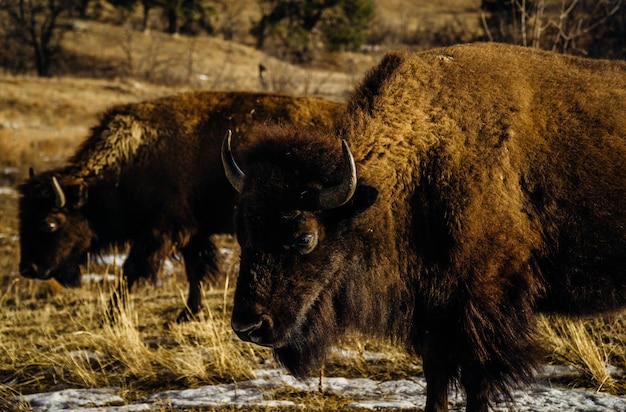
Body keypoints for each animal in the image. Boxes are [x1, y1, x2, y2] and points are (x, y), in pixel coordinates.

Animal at [19, 90, 342, 322]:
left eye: (48, 223)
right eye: (23, 216)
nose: (28, 268)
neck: (133, 157)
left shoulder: (163, 229)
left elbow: (131, 270)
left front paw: (110, 315)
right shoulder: (191, 232)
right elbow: (194, 271)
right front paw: (188, 314)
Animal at [223, 42, 624, 412]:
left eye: (305, 237)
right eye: (242, 233)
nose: (248, 326)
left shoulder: (481, 307)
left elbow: (476, 381)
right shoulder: (433, 309)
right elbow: (436, 376)